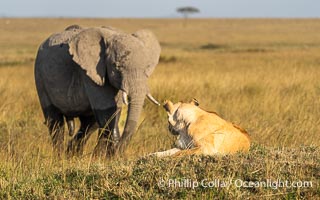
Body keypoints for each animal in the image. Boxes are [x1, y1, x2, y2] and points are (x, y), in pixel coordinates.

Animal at [33, 24, 161, 156]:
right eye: (117, 66)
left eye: (147, 67)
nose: (119, 151)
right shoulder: (90, 72)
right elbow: (107, 111)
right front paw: (111, 156)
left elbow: (114, 112)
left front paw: (104, 156)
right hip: (40, 76)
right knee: (54, 122)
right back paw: (60, 156)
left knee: (89, 124)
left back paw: (72, 154)